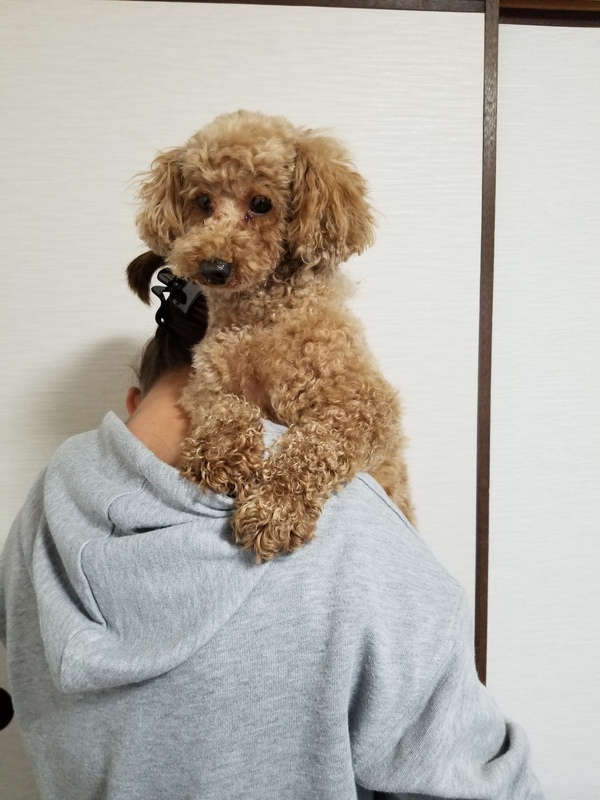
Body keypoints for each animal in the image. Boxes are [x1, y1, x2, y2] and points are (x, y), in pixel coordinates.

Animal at [127, 110, 414, 560]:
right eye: (203, 202)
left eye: (261, 204)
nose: (214, 267)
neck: (260, 320)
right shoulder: (203, 385)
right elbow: (227, 407)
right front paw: (222, 455)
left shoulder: (365, 405)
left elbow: (315, 443)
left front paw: (275, 510)